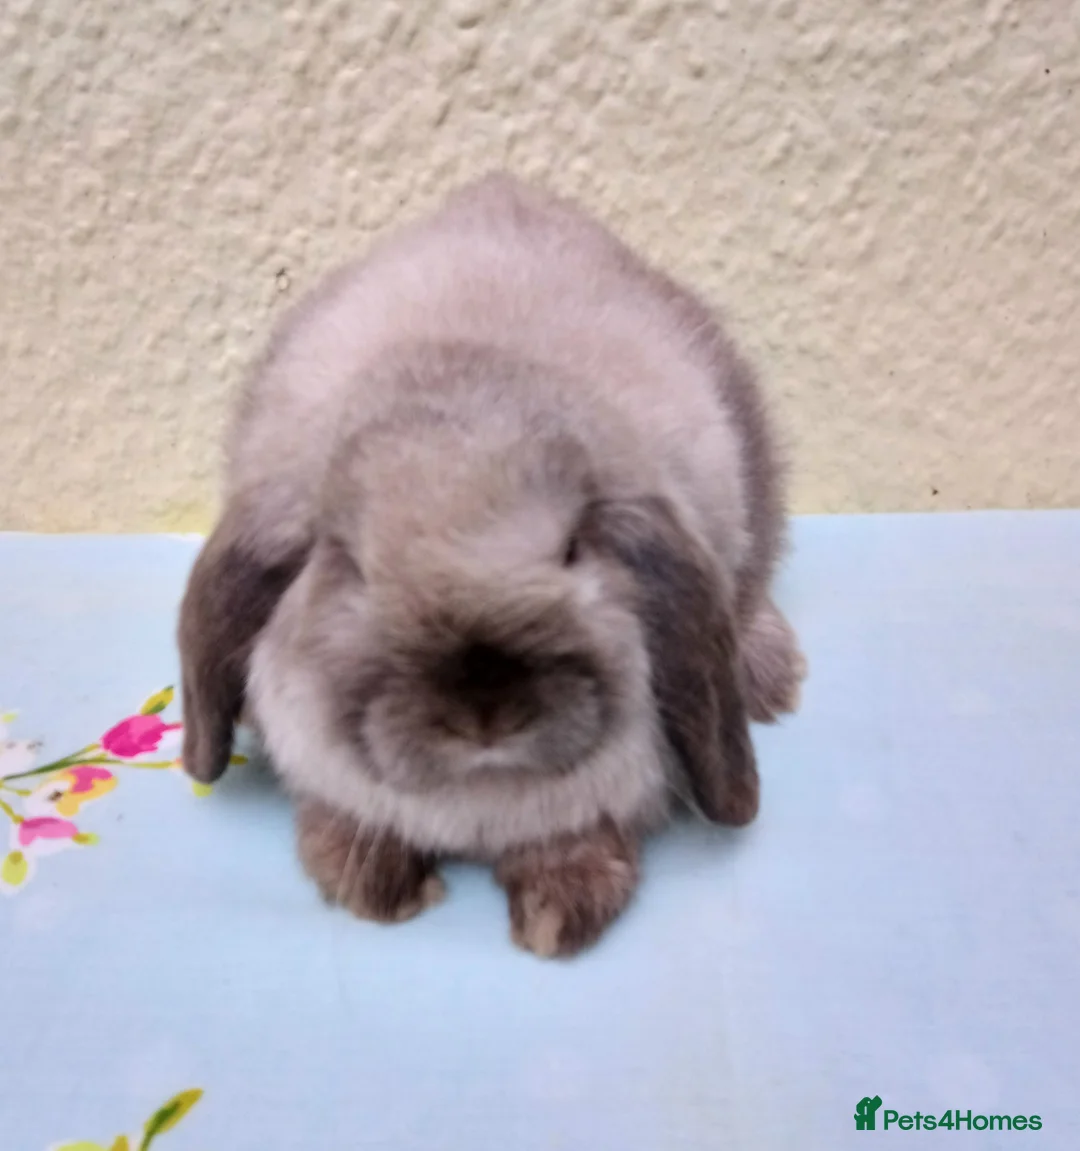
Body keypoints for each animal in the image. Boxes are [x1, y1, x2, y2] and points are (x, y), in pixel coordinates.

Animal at [177, 173, 806, 957]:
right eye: (350, 564)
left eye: (571, 548)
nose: (486, 709)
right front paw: (372, 884)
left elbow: (575, 840)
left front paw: (559, 913)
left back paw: (772, 678)